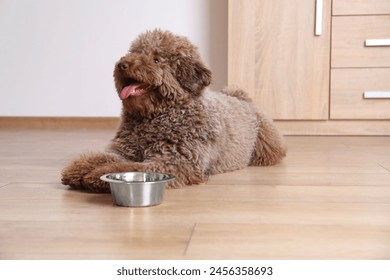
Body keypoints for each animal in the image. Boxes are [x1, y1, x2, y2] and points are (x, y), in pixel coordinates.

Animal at [61, 29, 286, 192]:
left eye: (157, 59)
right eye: (134, 52)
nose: (122, 64)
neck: (156, 116)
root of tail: (239, 96)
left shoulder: (176, 162)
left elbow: (131, 167)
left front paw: (97, 175)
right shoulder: (123, 150)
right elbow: (102, 156)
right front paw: (79, 169)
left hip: (266, 146)